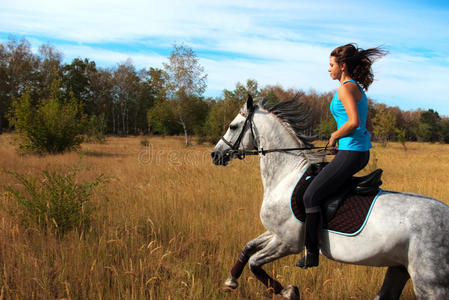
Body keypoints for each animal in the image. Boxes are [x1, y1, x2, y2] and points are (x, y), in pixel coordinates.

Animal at [210, 96, 448, 300]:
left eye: (233, 126)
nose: (215, 155)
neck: (286, 176)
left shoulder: (287, 242)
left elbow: (254, 262)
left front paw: (288, 291)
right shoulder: (275, 233)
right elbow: (247, 248)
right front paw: (231, 280)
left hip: (429, 283)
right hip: (399, 268)